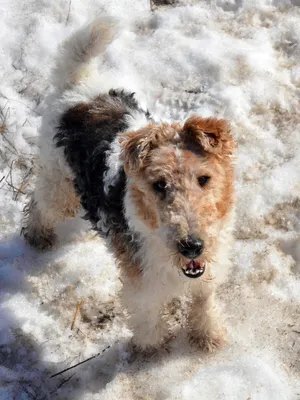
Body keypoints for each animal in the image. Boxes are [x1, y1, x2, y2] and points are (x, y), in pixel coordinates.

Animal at [22, 17, 236, 352]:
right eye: (159, 185)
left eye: (204, 179)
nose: (191, 246)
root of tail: (78, 89)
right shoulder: (142, 279)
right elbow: (147, 314)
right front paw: (153, 347)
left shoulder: (206, 271)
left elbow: (204, 300)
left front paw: (208, 336)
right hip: (60, 187)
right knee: (39, 203)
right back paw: (38, 236)